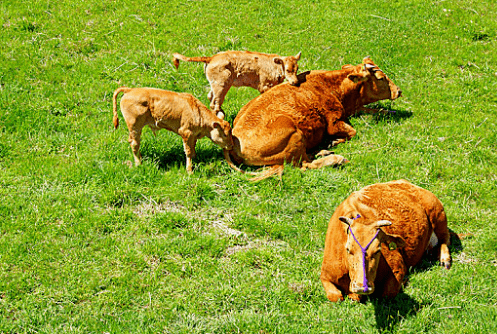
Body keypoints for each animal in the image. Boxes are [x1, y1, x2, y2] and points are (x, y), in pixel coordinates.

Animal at [172, 50, 300, 119]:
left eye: (297, 69)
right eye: (288, 70)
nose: (295, 82)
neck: (274, 66)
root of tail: (212, 57)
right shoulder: (264, 86)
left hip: (215, 85)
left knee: (210, 97)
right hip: (222, 85)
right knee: (214, 103)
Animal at [227, 56, 402, 180]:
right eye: (380, 78)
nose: (398, 91)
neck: (333, 85)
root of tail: (232, 140)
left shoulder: (354, 109)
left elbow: (378, 110)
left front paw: (392, 112)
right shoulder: (334, 122)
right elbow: (353, 132)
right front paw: (334, 141)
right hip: (295, 135)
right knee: (304, 165)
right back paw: (335, 158)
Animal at [320, 180, 452, 302]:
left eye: (378, 250)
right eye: (348, 249)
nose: (362, 287)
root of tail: (405, 182)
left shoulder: (398, 266)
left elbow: (387, 294)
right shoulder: (325, 274)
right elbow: (335, 296)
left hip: (437, 212)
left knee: (445, 238)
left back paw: (445, 259)